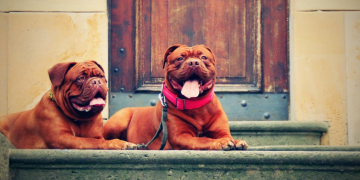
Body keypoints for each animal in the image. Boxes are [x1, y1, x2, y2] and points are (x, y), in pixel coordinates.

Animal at [0, 61, 136, 150]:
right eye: (80, 78)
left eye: (101, 76)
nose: (96, 81)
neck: (79, 119)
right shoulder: (61, 138)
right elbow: (91, 142)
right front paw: (118, 143)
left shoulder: (97, 136)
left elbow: (95, 139)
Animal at [103, 45, 248, 150]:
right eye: (179, 58)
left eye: (203, 57)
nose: (193, 62)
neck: (195, 103)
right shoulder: (181, 137)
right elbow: (203, 139)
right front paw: (220, 143)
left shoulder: (222, 132)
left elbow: (226, 137)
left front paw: (237, 141)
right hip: (121, 118)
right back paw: (123, 144)